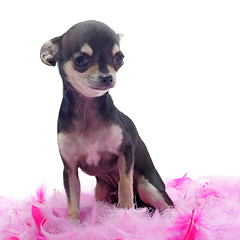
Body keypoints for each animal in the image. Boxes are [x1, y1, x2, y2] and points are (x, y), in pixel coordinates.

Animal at [40, 20, 173, 221]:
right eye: (80, 60)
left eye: (119, 59)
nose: (107, 77)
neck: (87, 110)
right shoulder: (69, 170)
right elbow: (72, 202)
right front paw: (73, 224)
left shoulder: (125, 152)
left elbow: (125, 186)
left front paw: (125, 215)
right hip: (101, 192)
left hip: (148, 188)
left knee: (168, 206)